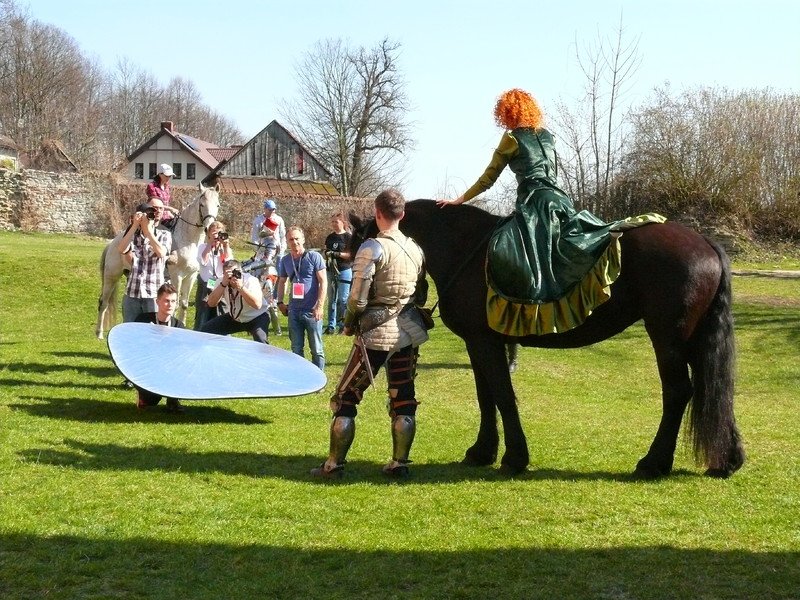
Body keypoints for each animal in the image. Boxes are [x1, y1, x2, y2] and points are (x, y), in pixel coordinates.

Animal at [97, 183, 222, 338]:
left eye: (217, 205)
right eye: (202, 204)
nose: (210, 227)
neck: (187, 241)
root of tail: (112, 243)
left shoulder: (191, 276)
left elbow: (184, 305)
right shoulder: (177, 276)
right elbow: (175, 305)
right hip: (111, 276)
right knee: (103, 302)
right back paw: (99, 334)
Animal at [350, 199, 744, 480]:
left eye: (361, 252)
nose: (356, 315)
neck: (464, 247)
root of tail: (705, 242)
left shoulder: (484, 343)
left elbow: (502, 396)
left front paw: (514, 457)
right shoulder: (480, 344)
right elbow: (485, 396)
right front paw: (482, 451)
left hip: (668, 339)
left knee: (678, 392)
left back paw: (654, 462)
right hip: (694, 341)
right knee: (712, 387)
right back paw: (728, 460)